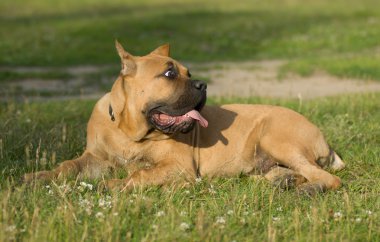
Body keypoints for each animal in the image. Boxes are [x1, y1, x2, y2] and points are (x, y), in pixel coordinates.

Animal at [23, 41, 344, 196]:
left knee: (326, 177)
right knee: (290, 173)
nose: (203, 84)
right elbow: (68, 166)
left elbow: (140, 174)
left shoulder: (177, 166)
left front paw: (115, 185)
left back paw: (308, 190)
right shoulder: (95, 159)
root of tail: (324, 140)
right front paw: (39, 177)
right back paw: (285, 182)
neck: (130, 132)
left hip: (276, 137)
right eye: (169, 73)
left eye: (188, 73)